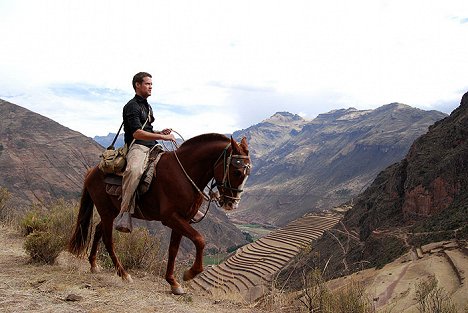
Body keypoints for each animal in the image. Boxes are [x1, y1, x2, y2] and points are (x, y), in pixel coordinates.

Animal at [67, 133, 250, 294]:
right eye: (237, 172)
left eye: (247, 173)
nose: (232, 204)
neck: (184, 173)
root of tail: (92, 171)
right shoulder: (171, 218)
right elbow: (200, 240)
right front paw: (189, 273)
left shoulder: (182, 219)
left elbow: (173, 250)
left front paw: (173, 283)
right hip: (105, 210)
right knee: (107, 239)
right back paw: (124, 274)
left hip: (111, 211)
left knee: (98, 230)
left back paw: (93, 265)